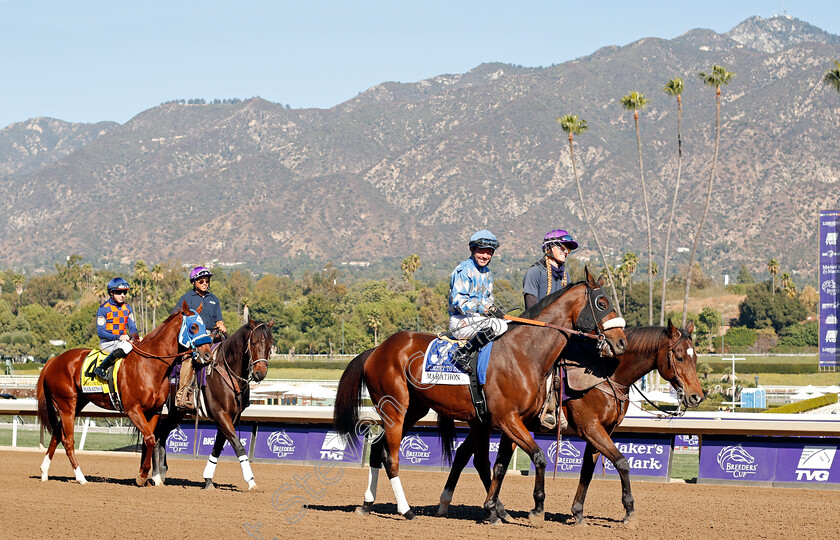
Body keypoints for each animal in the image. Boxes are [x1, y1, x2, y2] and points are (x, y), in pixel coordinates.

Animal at [37, 304, 212, 486]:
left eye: (205, 326)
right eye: (193, 327)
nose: (208, 355)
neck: (149, 365)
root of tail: (53, 361)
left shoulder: (154, 410)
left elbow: (149, 440)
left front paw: (150, 477)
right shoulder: (132, 409)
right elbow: (150, 439)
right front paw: (143, 476)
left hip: (76, 404)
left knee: (57, 433)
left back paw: (44, 472)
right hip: (67, 404)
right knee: (68, 440)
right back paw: (80, 477)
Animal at [148, 318, 272, 492]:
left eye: (270, 345)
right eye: (253, 343)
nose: (260, 373)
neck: (228, 372)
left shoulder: (232, 418)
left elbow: (218, 447)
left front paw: (208, 480)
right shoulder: (221, 415)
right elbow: (238, 445)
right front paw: (251, 481)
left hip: (176, 413)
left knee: (162, 433)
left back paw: (162, 472)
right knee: (156, 434)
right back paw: (156, 476)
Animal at [332, 270, 628, 528]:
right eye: (602, 303)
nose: (622, 342)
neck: (524, 352)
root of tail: (375, 349)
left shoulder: (511, 421)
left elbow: (499, 465)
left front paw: (496, 510)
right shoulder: (507, 418)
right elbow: (538, 457)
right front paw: (536, 510)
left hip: (413, 410)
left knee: (379, 449)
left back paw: (367, 504)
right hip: (394, 408)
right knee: (391, 457)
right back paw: (406, 510)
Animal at [436, 318, 704, 524]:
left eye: (696, 358)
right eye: (679, 357)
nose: (696, 396)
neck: (604, 374)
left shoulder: (602, 431)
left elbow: (587, 470)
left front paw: (578, 513)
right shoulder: (592, 428)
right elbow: (621, 462)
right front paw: (629, 512)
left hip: (488, 425)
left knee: (464, 455)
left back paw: (450, 503)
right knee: (475, 458)